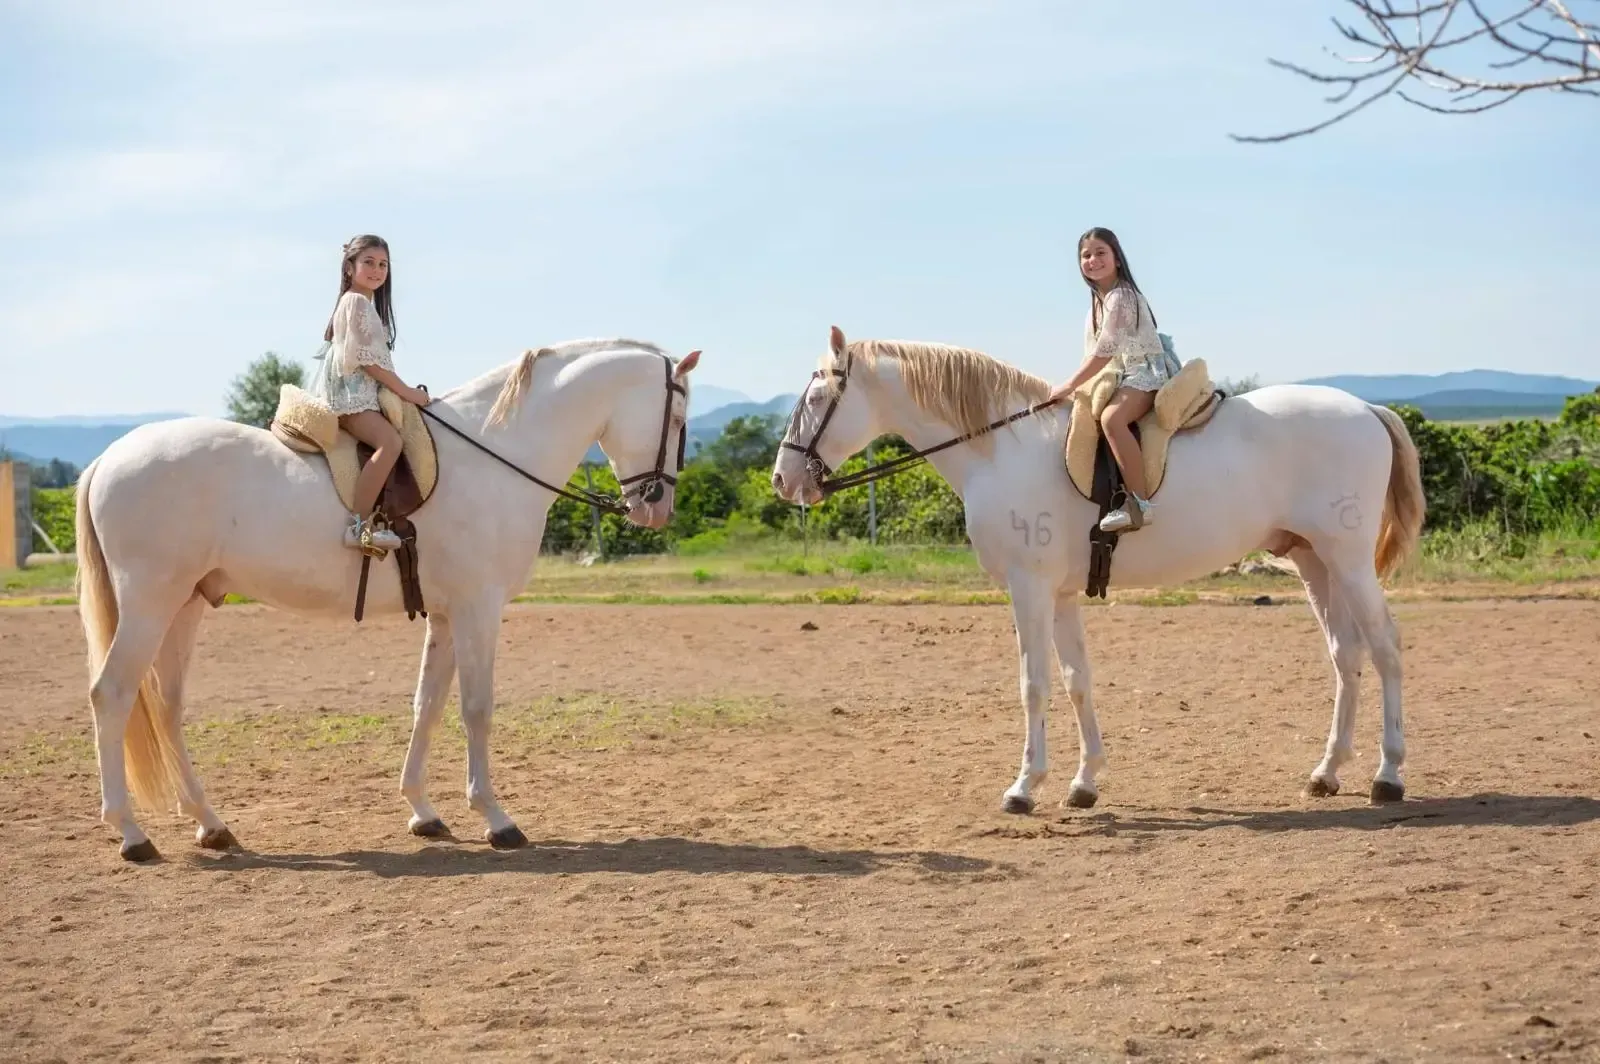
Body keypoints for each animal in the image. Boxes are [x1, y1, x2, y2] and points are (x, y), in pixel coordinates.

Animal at [75, 339, 702, 861]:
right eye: (677, 418)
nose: (656, 507)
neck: (494, 455)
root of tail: (108, 459)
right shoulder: (478, 609)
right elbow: (477, 708)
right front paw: (496, 820)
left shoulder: (447, 614)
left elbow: (428, 705)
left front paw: (424, 813)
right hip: (150, 603)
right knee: (112, 695)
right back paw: (132, 834)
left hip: (184, 606)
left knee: (166, 708)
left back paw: (211, 824)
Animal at [771, 326, 1425, 814]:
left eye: (816, 399)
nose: (782, 479)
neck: (1000, 448)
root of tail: (1367, 408)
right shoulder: (1060, 595)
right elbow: (1075, 680)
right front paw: (1083, 783)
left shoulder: (1029, 588)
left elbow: (1033, 683)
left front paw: (1023, 787)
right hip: (1314, 561)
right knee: (1346, 656)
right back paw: (1327, 773)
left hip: (1348, 560)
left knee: (1386, 649)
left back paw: (1388, 775)